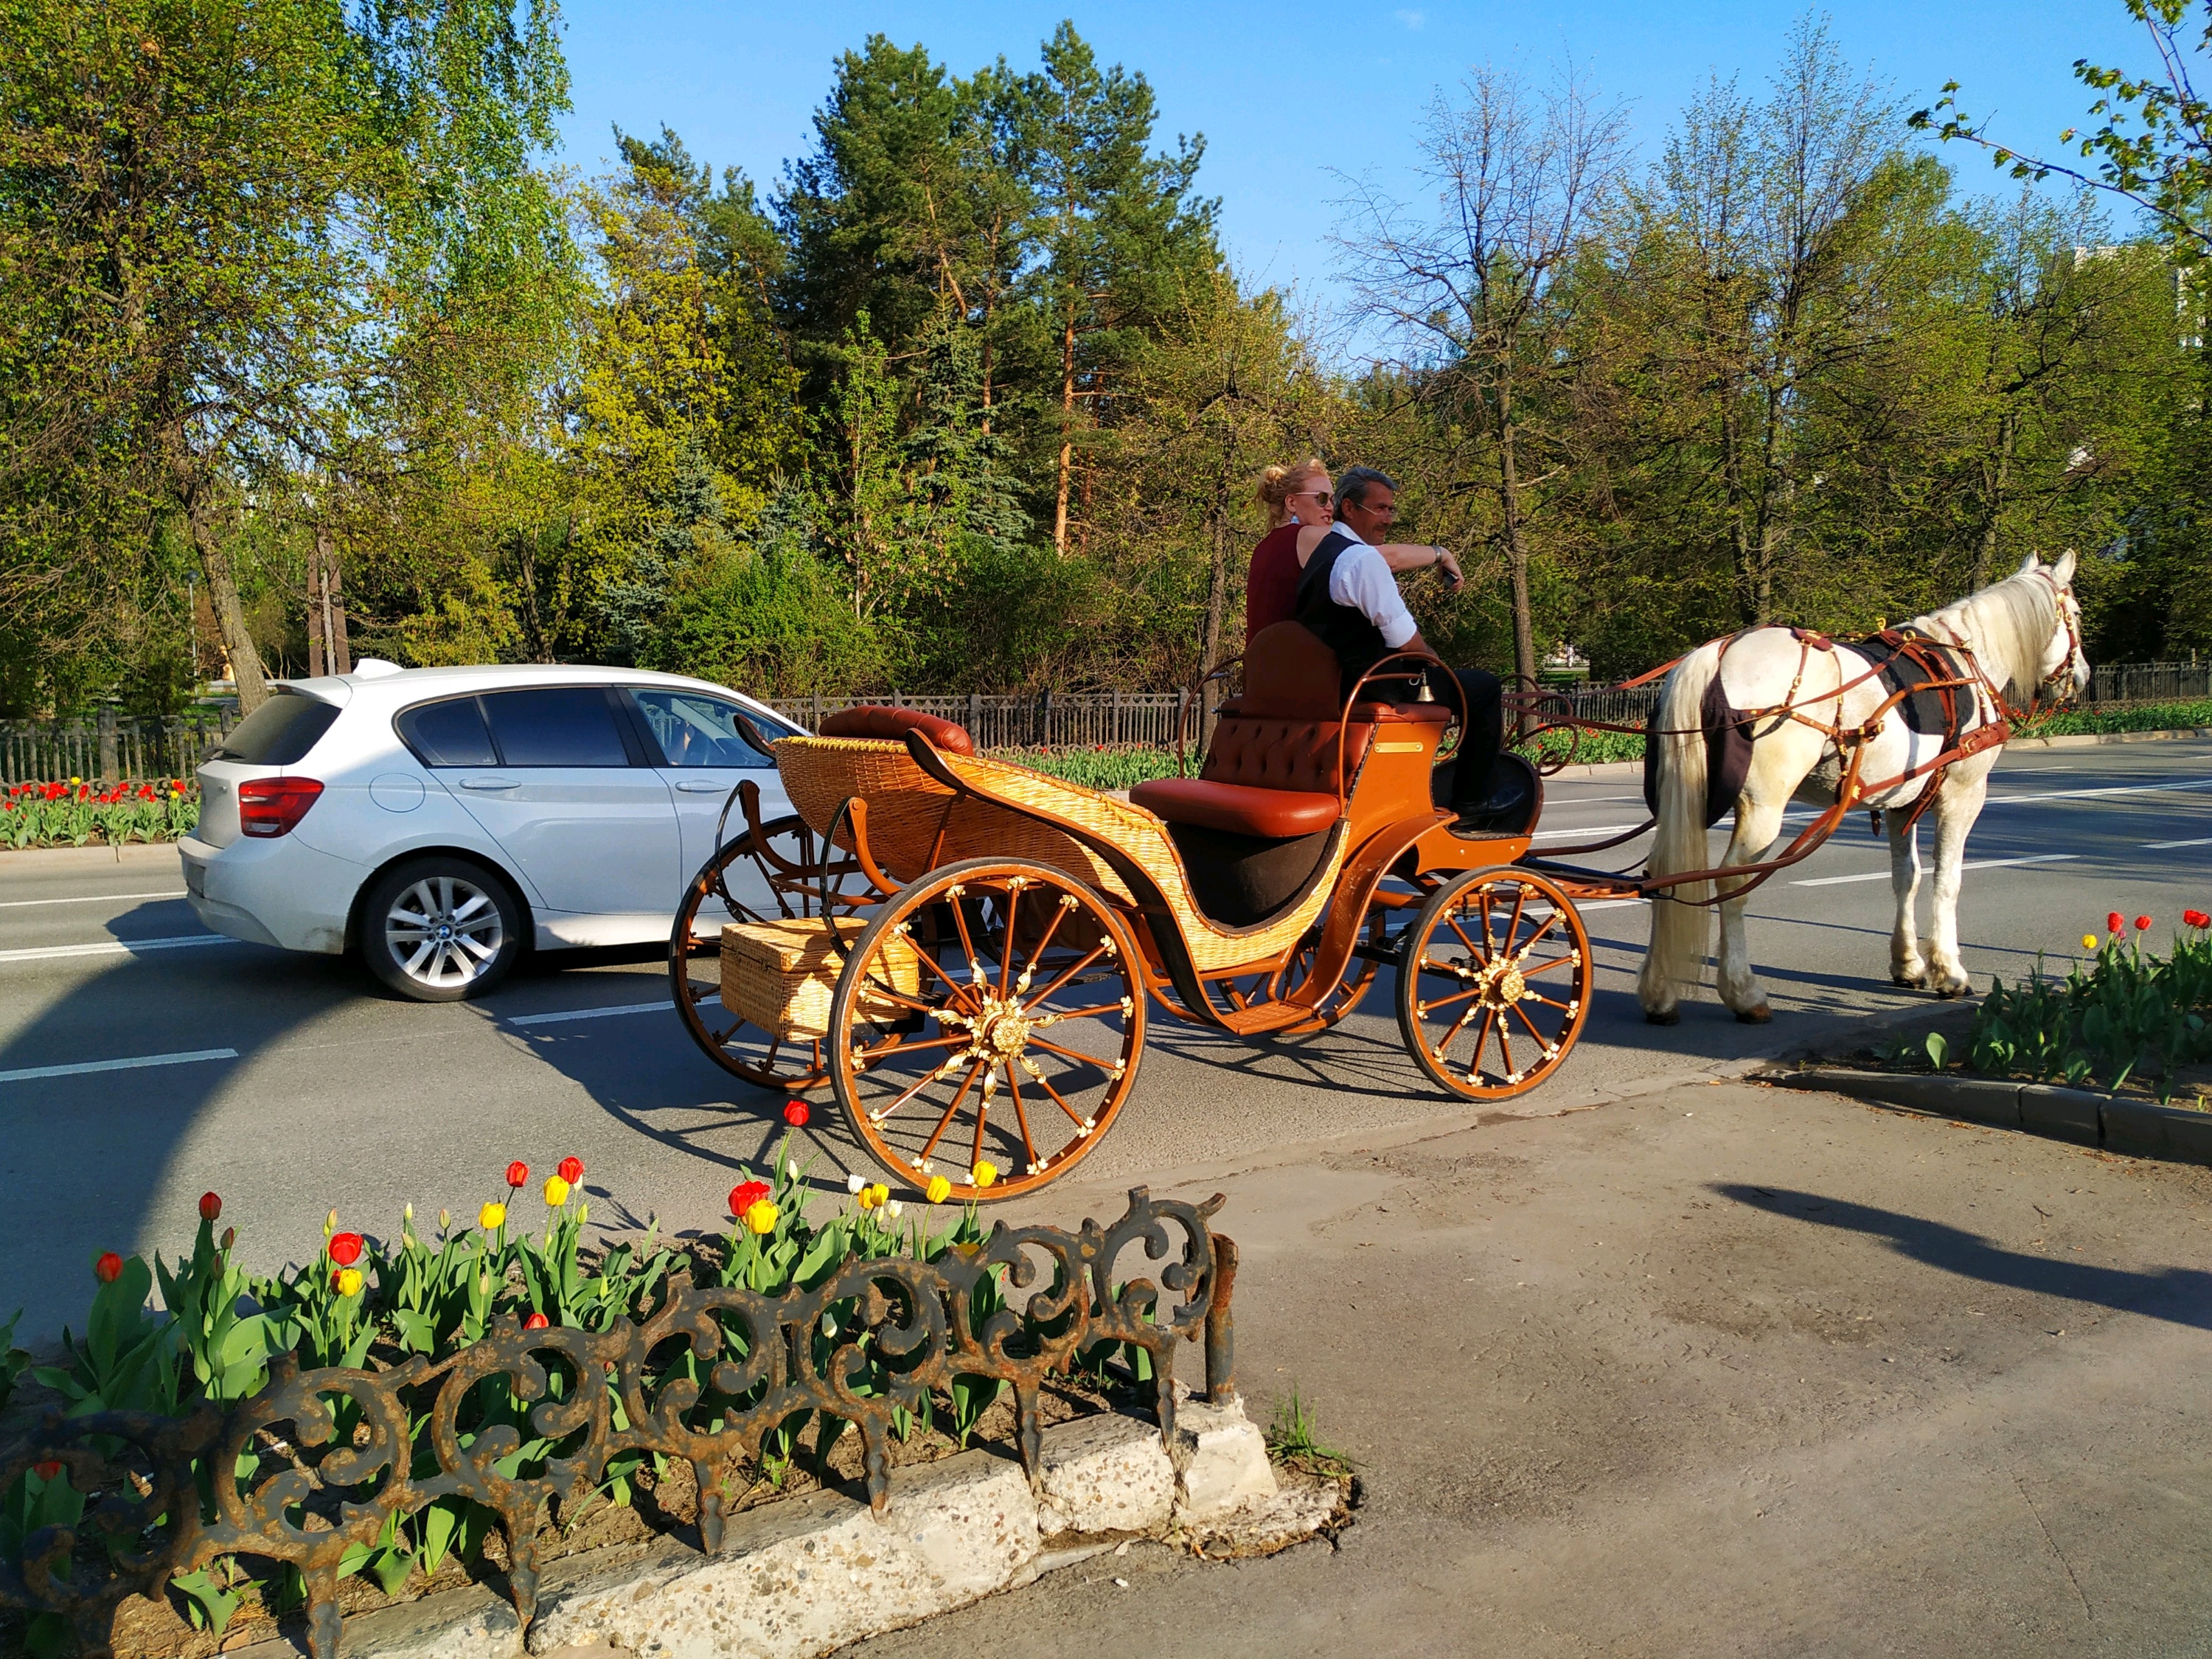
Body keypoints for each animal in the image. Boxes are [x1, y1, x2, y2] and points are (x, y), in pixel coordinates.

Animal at [1646, 560, 2088, 1026]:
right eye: (2076, 614)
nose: (2083, 676)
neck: (1964, 660)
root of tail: (1719, 652)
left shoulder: (1901, 805)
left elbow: (1906, 877)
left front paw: (1908, 964)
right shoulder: (1963, 796)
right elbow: (1947, 881)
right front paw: (1949, 971)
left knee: (1661, 873)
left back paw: (1659, 993)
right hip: (1763, 809)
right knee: (1732, 882)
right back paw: (1743, 993)